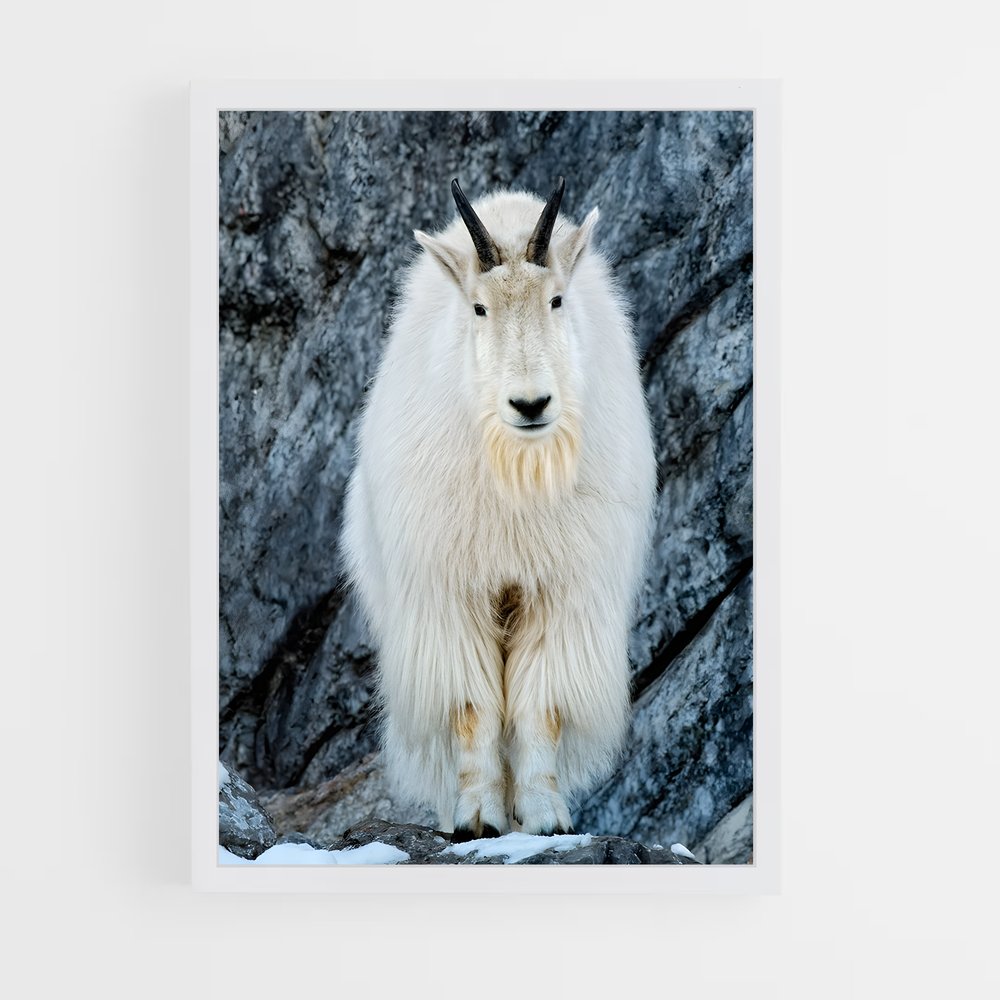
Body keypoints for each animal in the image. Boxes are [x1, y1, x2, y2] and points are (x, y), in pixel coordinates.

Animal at [340, 177, 655, 839]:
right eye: (479, 309)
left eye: (556, 300)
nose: (530, 404)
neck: (518, 473)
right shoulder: (450, 590)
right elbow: (471, 706)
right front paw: (477, 817)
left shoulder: (561, 589)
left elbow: (541, 707)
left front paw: (544, 817)